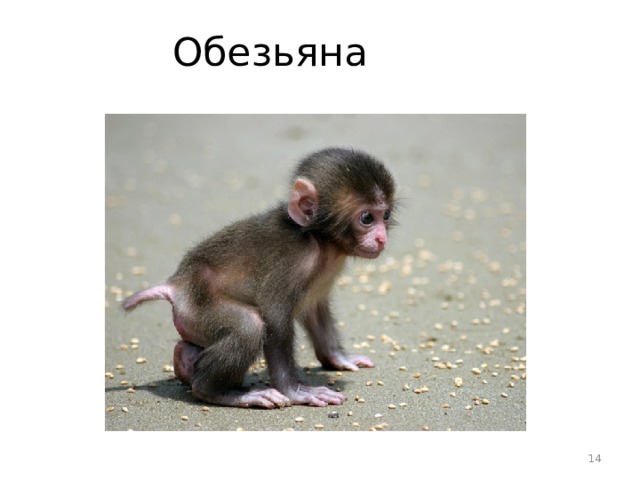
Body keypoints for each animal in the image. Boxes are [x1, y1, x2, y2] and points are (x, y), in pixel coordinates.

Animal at [122, 147, 396, 408]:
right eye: (367, 218)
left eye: (385, 215)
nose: (382, 238)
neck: (319, 239)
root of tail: (176, 285)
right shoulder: (294, 261)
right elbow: (274, 316)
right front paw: (295, 391)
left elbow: (314, 310)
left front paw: (338, 358)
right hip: (196, 307)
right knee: (249, 326)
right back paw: (218, 392)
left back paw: (185, 362)